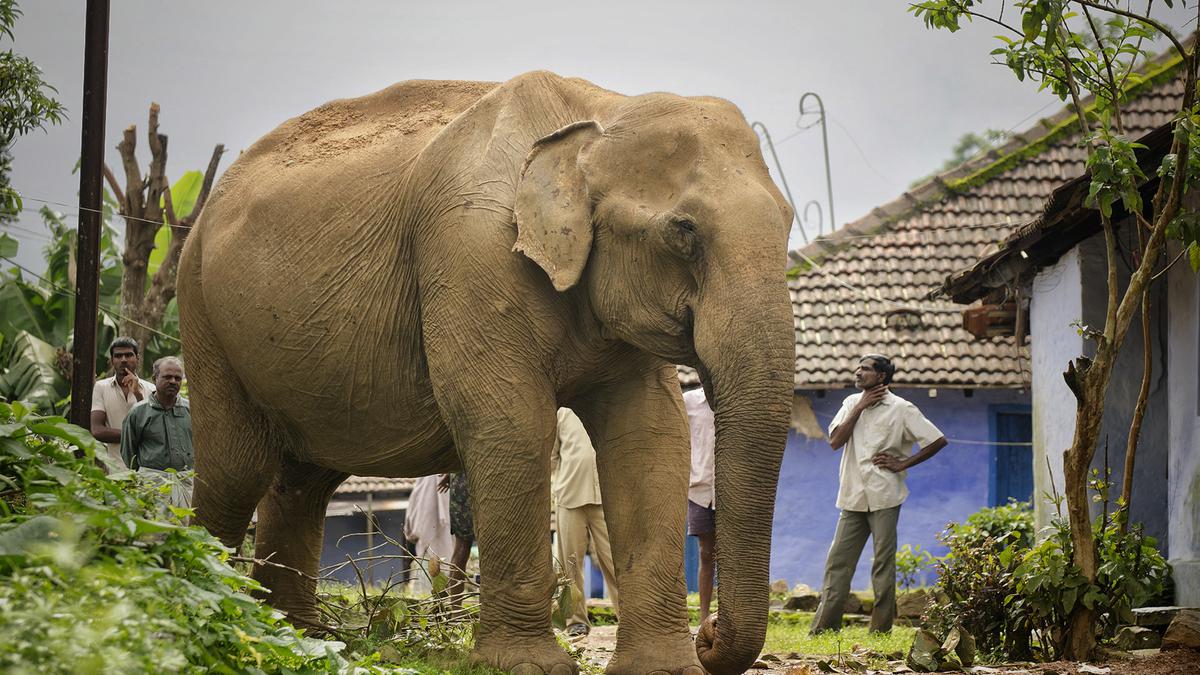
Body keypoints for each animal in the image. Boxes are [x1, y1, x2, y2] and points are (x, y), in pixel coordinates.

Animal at [177, 70, 796, 667]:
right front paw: (527, 666)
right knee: (238, 470)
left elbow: (648, 436)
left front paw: (666, 669)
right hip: (202, 312)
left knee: (301, 482)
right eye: (683, 230)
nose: (708, 636)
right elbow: (512, 424)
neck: (598, 110)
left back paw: (303, 635)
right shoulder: (471, 251)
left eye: (789, 222)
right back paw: (220, 606)